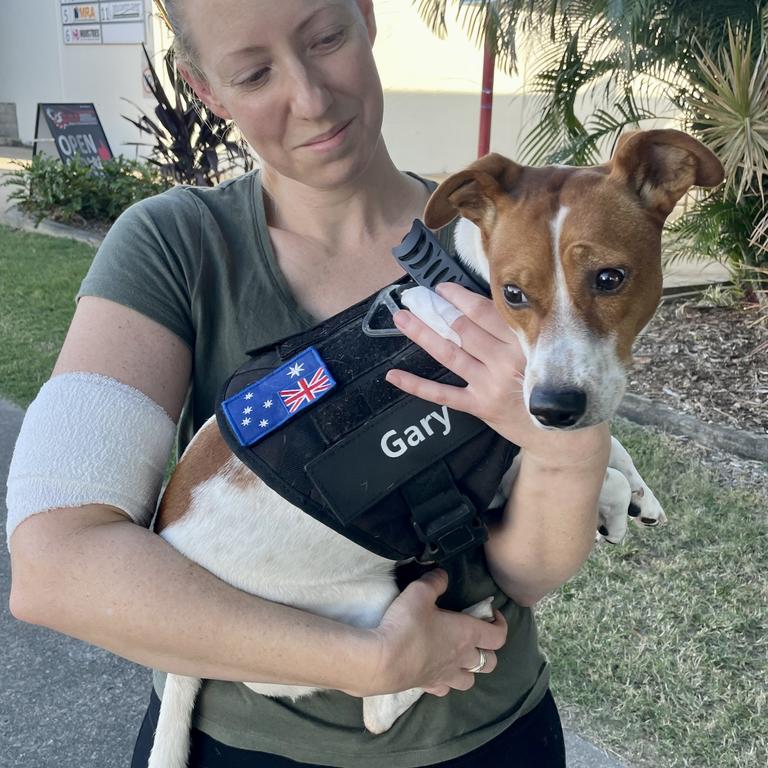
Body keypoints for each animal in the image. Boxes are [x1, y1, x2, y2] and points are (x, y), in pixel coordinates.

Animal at [147, 129, 724, 764]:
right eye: (513, 293)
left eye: (610, 278)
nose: (551, 409)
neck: (472, 293)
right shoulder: (496, 472)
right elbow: (603, 472)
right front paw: (613, 506)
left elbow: (615, 451)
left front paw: (641, 494)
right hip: (360, 604)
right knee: (376, 707)